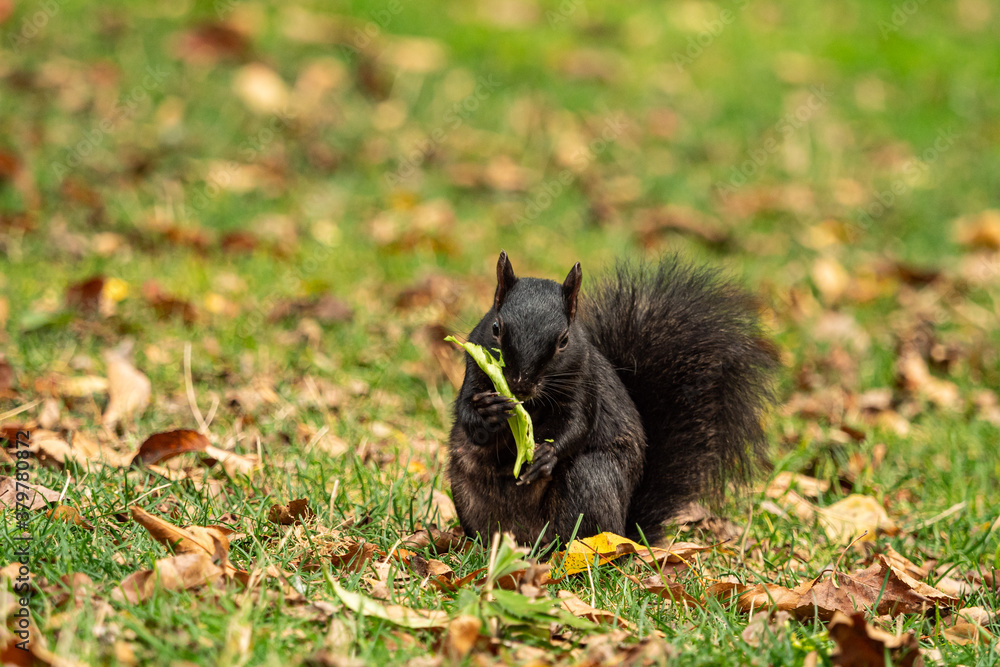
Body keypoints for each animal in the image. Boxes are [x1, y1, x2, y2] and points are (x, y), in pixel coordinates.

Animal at [447, 251, 779, 546]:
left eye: (564, 341)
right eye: (496, 328)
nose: (520, 385)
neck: (533, 403)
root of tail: (627, 531)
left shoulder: (584, 383)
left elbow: (577, 426)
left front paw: (546, 454)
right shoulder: (474, 369)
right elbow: (467, 415)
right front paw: (487, 411)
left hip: (590, 479)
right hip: (466, 490)